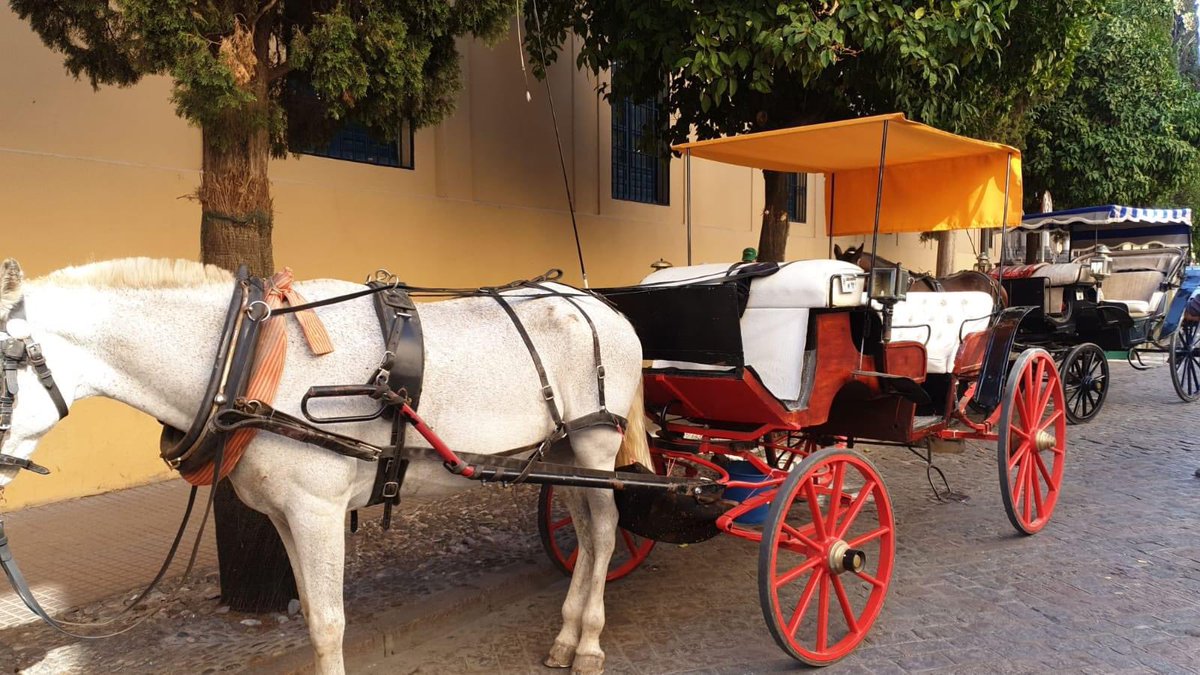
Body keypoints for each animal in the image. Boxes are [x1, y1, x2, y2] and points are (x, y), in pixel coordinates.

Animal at [0, 257, 650, 675]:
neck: (248, 358)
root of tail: (600, 305)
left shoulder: (317, 511)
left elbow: (331, 623)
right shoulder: (286, 516)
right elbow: (313, 614)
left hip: (595, 448)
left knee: (603, 533)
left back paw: (588, 646)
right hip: (562, 456)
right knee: (584, 537)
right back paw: (567, 637)